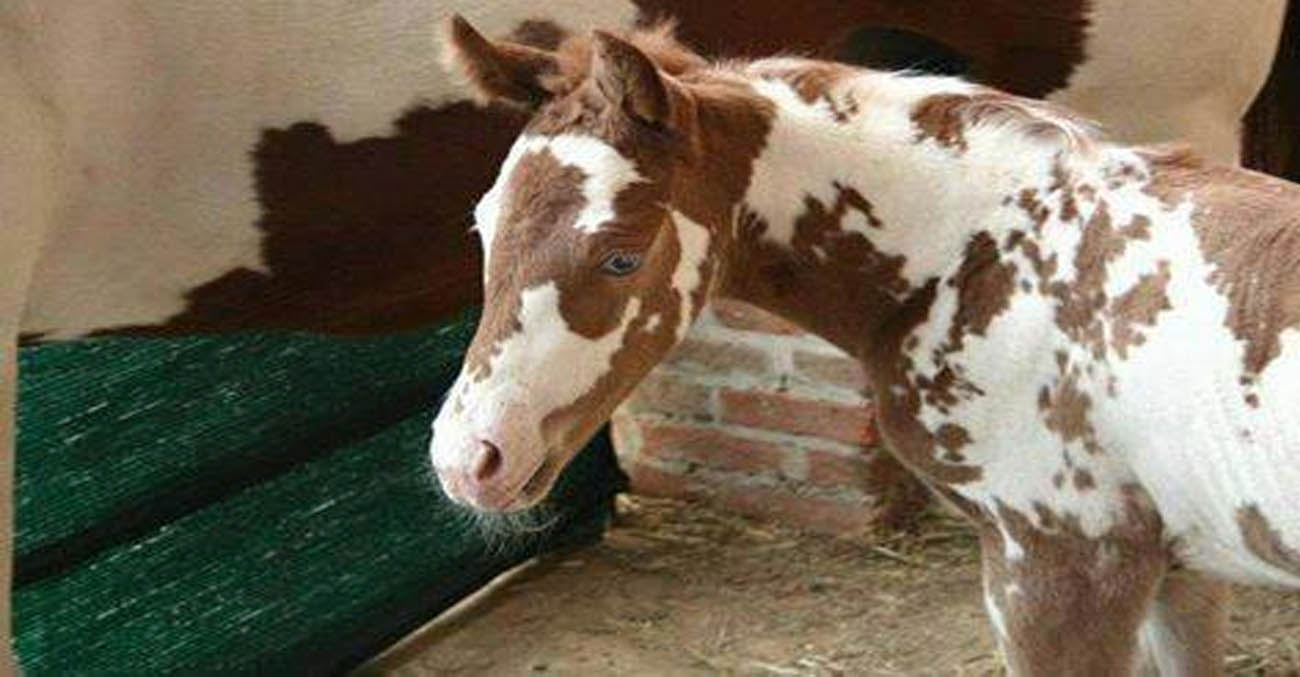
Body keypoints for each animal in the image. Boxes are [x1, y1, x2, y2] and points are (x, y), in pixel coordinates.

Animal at [434, 18, 1300, 670]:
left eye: (620, 254)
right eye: (482, 225)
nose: (469, 458)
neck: (987, 251)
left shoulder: (1063, 561)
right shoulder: (1182, 566)